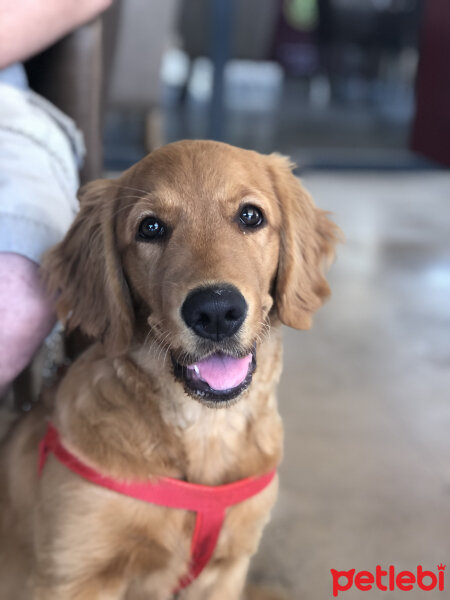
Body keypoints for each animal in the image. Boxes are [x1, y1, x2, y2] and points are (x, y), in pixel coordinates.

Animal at [0, 142, 338, 600]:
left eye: (251, 216)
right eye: (151, 227)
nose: (216, 311)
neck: (206, 429)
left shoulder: (227, 569)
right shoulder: (74, 576)